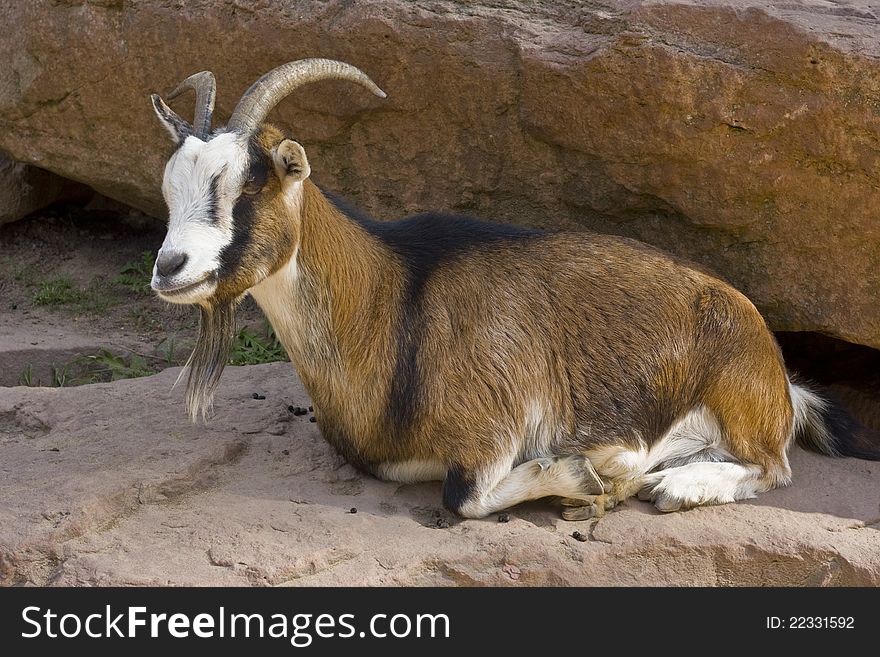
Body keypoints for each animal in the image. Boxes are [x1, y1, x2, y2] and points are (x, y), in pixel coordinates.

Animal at [151, 59, 880, 516]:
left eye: (248, 185)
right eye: (169, 188)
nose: (169, 266)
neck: (386, 301)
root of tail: (775, 366)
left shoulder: (494, 416)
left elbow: (465, 497)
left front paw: (590, 471)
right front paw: (603, 469)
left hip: (736, 385)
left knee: (773, 464)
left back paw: (680, 486)